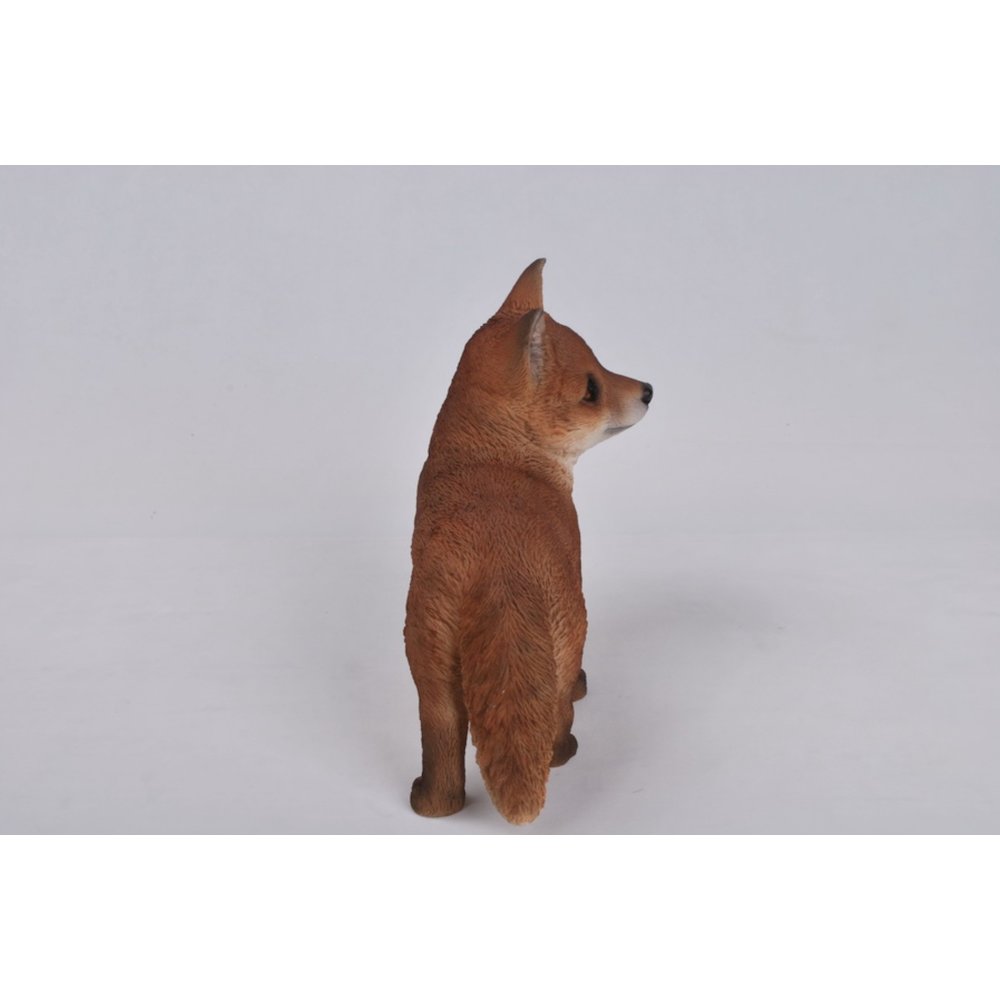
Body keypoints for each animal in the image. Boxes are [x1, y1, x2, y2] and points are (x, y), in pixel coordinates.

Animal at [404, 259, 653, 824]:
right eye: (591, 389)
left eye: (602, 365)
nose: (648, 389)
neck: (495, 460)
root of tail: (493, 564)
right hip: (568, 622)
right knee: (556, 704)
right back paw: (564, 750)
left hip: (427, 660)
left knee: (442, 733)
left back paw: (432, 805)